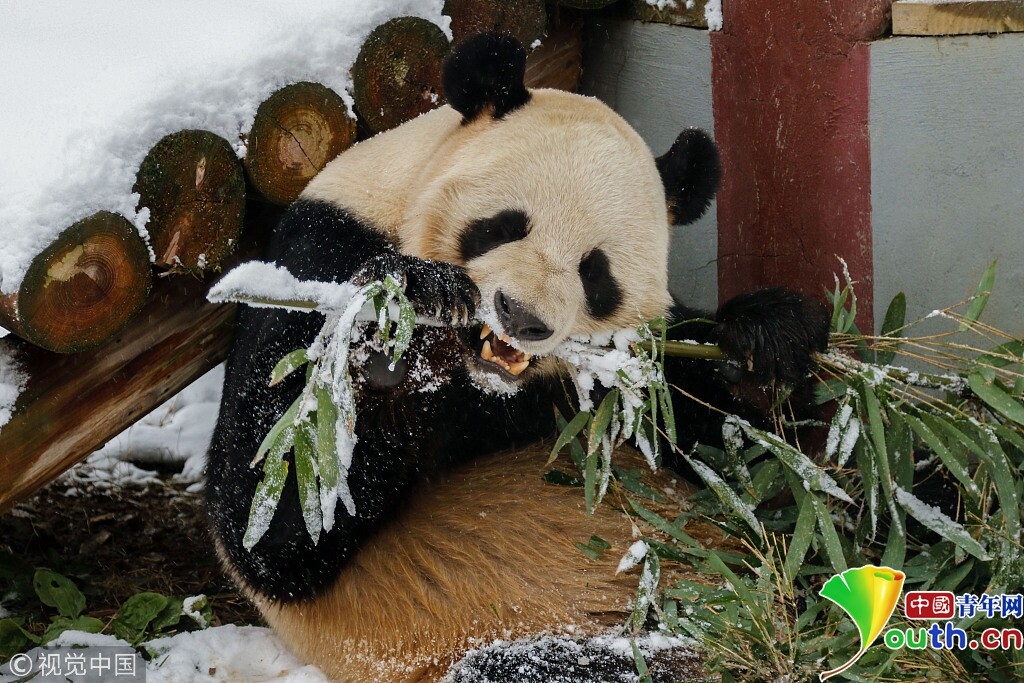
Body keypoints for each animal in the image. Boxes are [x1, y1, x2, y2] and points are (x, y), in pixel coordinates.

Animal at [205, 33, 823, 683]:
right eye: (503, 226)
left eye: (595, 272)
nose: (521, 315)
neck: (482, 387)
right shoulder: (320, 253)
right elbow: (275, 509)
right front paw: (399, 331)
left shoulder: (637, 372)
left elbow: (751, 467)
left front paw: (763, 347)